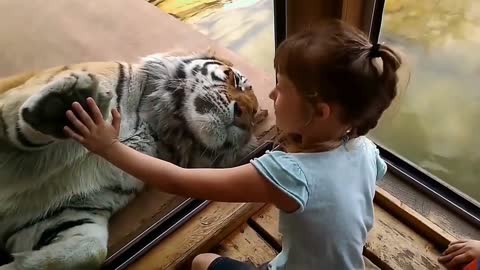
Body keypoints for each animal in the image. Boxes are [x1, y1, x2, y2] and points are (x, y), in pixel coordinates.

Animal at [0, 49, 264, 270]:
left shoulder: (71, 210)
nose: (243, 116)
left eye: (252, 117)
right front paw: (61, 107)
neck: (158, 126)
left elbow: (88, 250)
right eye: (232, 79)